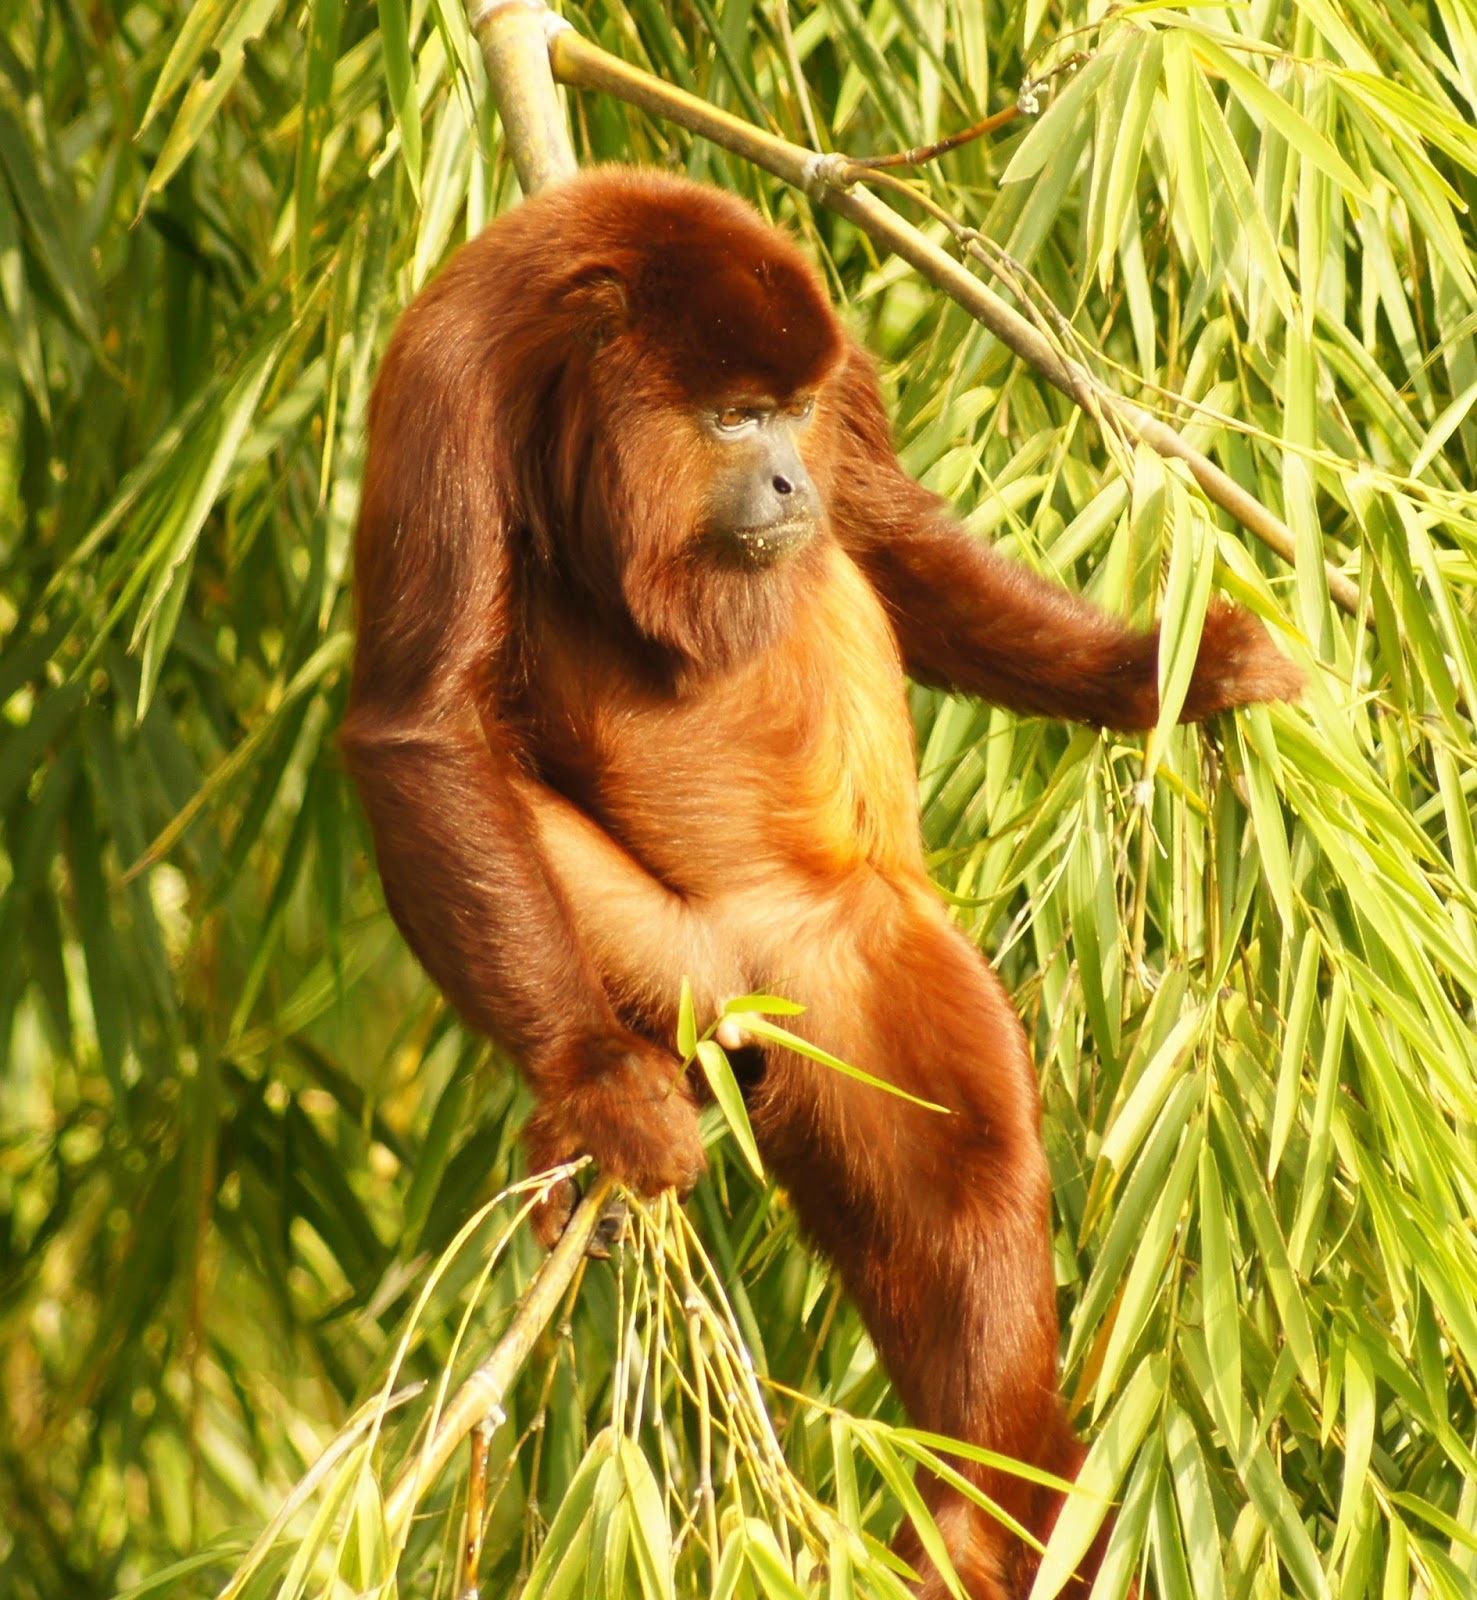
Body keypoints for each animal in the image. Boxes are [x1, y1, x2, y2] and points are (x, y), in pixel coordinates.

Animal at [340, 166, 1302, 1597]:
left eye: (789, 414)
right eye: (734, 417)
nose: (788, 473)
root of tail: (750, 998)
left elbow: (888, 540)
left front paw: (1157, 674)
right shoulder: (449, 383)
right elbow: (423, 724)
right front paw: (589, 1081)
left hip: (862, 963)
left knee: (964, 1187)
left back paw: (982, 1504)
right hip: (663, 958)